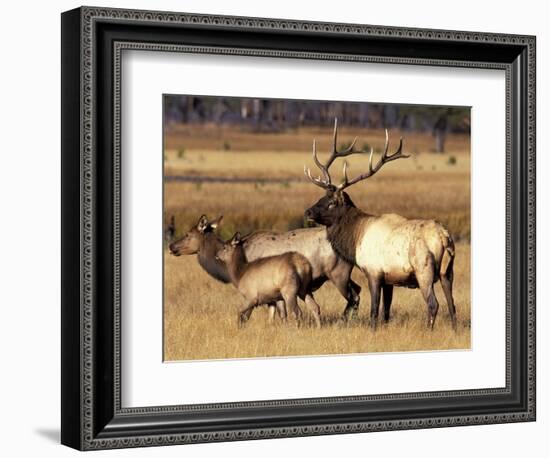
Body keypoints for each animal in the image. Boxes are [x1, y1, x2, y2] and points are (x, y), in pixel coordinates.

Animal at [304, 120, 460, 330]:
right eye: (321, 197)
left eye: (331, 202)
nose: (308, 212)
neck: (355, 238)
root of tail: (444, 237)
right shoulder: (389, 279)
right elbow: (386, 311)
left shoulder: (373, 272)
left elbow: (374, 310)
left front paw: (372, 331)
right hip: (448, 271)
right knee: (452, 305)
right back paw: (454, 331)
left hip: (424, 269)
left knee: (433, 304)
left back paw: (429, 330)